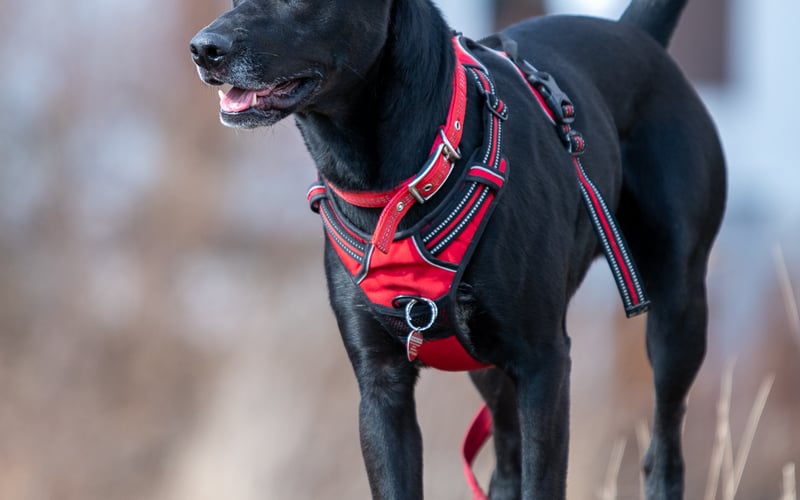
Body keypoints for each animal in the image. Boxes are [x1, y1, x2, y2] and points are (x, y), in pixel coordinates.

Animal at [192, 1, 724, 498]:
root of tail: (636, 35)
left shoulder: (545, 364)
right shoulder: (382, 386)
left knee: (663, 450)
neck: (398, 186)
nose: (203, 49)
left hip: (677, 316)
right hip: (487, 365)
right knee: (506, 464)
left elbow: (543, 479)